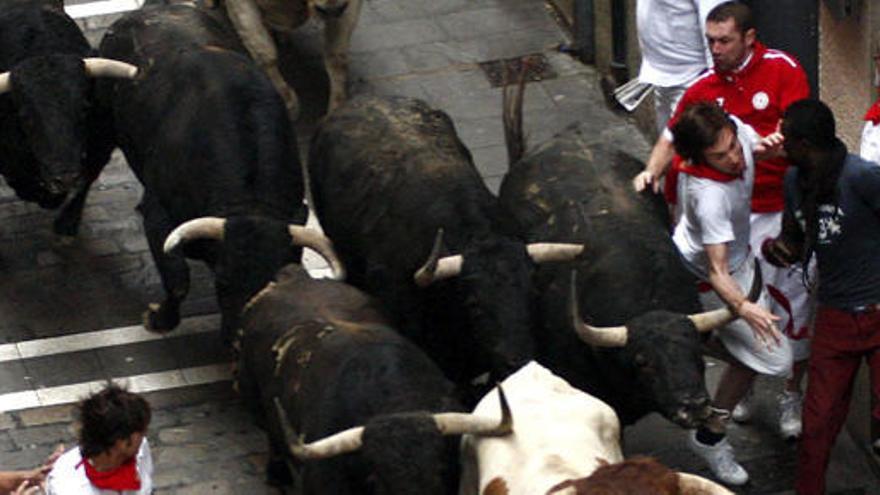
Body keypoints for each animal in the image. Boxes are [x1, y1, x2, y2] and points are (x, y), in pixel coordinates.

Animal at [96, 3, 340, 342]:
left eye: (275, 282)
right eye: (222, 281)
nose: (239, 338)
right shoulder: (159, 217)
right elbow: (177, 280)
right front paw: (160, 319)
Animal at [213, 0, 360, 118]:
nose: (332, 9)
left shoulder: (349, 7)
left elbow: (336, 57)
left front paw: (336, 111)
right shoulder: (241, 6)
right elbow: (265, 52)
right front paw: (288, 102)